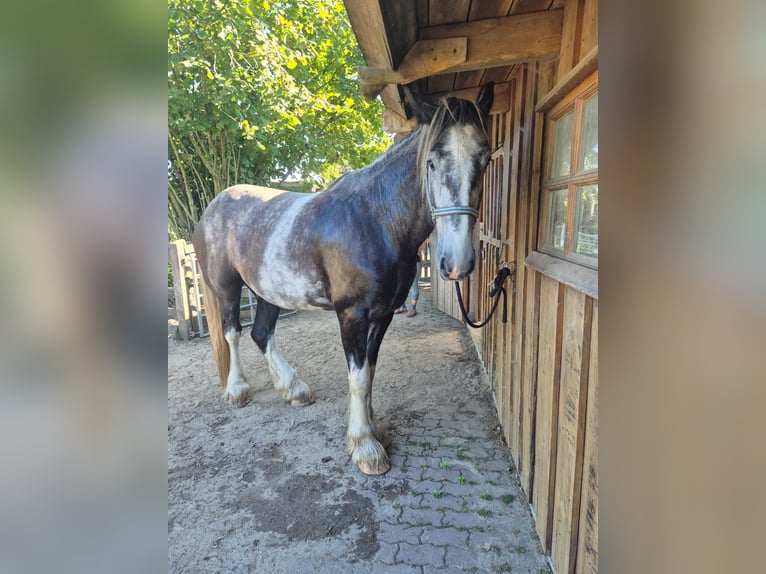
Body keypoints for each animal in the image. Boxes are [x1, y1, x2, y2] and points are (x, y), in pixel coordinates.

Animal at [192, 82, 494, 475]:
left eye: (485, 158)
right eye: (431, 161)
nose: (456, 262)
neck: (375, 219)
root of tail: (213, 206)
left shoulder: (383, 315)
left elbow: (370, 372)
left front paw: (374, 429)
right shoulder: (351, 314)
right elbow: (358, 376)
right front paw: (365, 446)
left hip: (268, 292)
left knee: (262, 334)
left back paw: (294, 390)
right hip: (227, 288)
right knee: (233, 333)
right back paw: (238, 391)